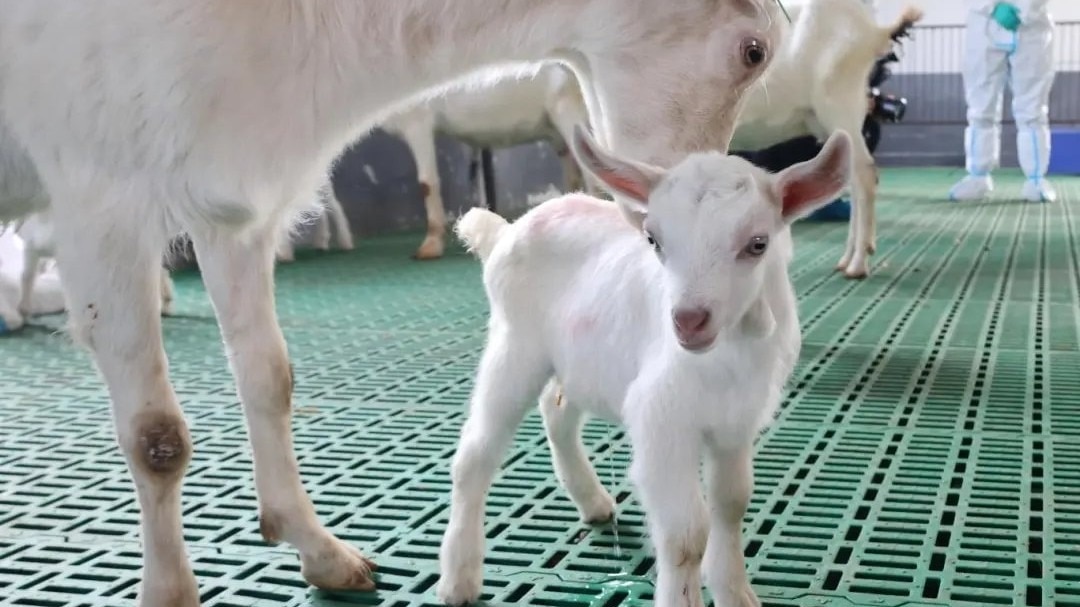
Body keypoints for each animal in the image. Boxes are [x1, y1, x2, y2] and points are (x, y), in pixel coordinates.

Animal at [0, 0, 782, 602]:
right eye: (754, 50)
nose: (668, 199)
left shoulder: (233, 206)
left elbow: (270, 379)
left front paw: (317, 550)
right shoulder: (100, 196)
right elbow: (157, 437)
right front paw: (168, 590)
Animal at [440, 126, 852, 607]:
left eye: (758, 244)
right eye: (654, 240)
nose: (688, 320)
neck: (726, 358)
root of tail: (506, 231)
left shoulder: (736, 424)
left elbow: (731, 505)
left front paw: (735, 592)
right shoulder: (661, 421)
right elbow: (686, 535)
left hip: (581, 361)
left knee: (556, 411)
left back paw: (593, 501)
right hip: (515, 346)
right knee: (476, 454)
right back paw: (459, 577)